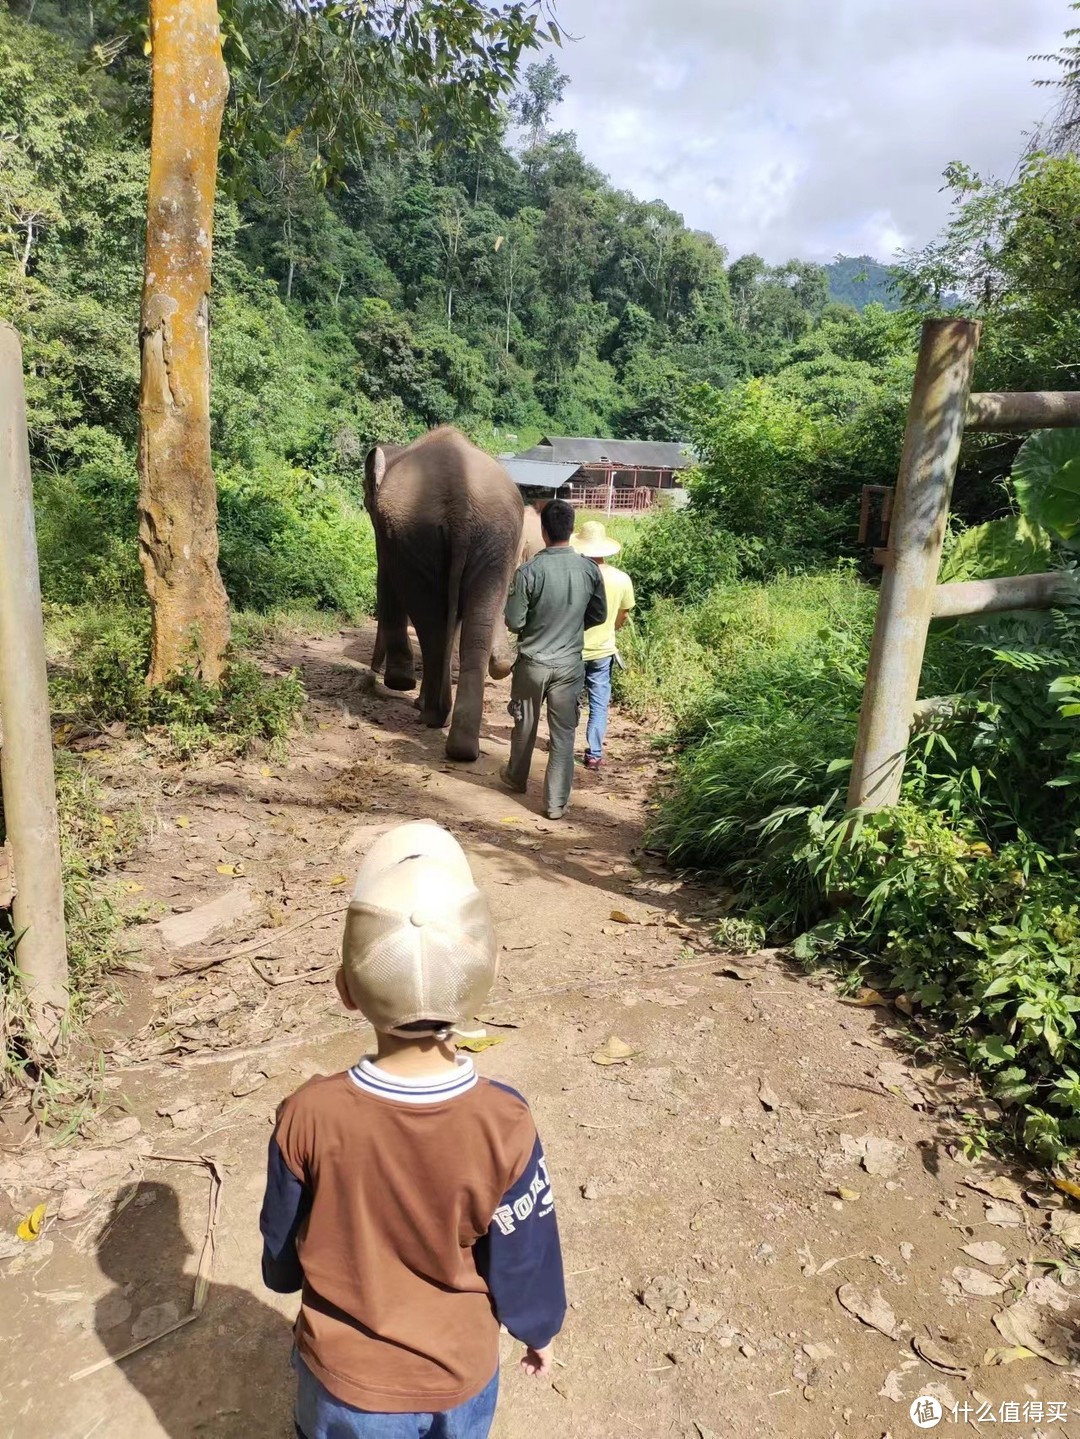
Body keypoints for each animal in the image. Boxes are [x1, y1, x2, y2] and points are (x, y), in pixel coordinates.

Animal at [365, 425, 526, 765]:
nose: (371, 674)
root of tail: (461, 502)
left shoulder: (388, 537)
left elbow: (386, 581)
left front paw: (399, 683)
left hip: (417, 535)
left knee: (431, 623)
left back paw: (431, 716)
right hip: (494, 538)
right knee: (471, 626)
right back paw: (461, 746)